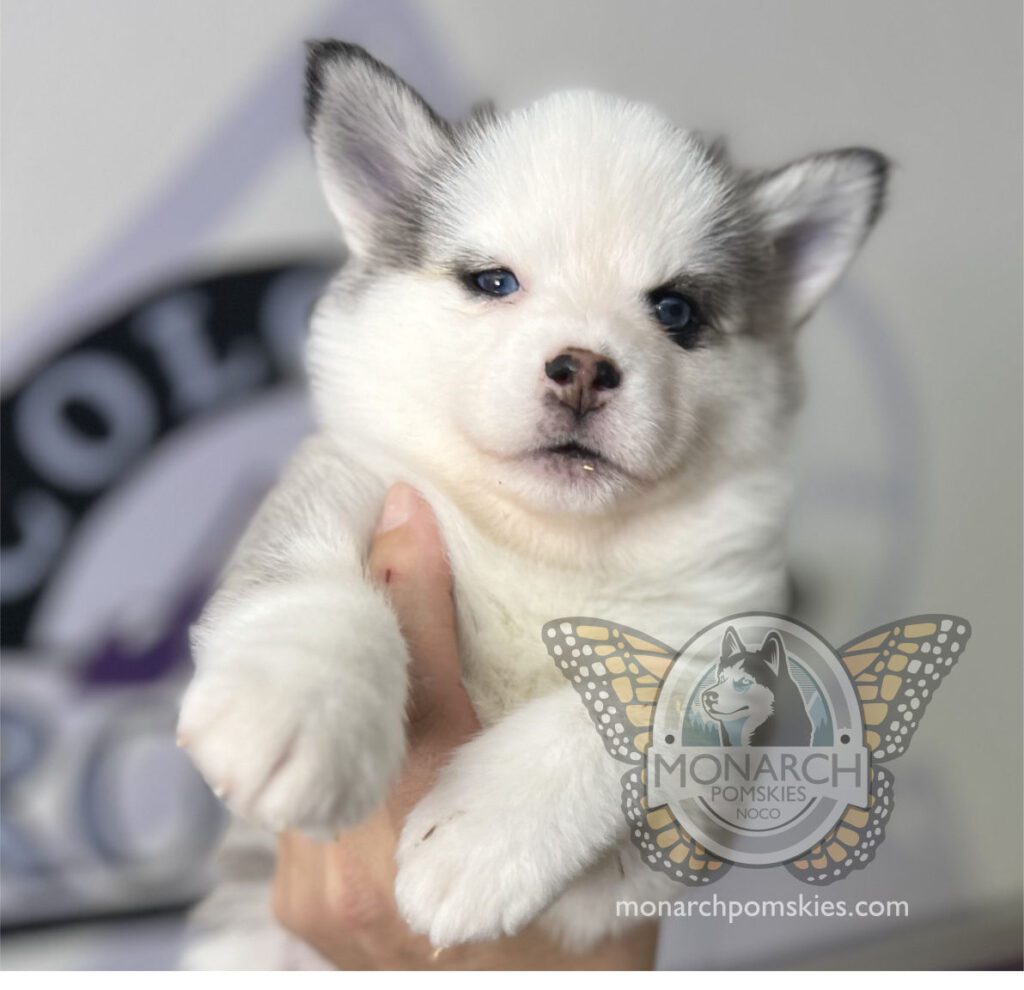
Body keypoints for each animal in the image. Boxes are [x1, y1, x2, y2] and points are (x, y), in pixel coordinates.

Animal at [174, 42, 880, 962]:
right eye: (494, 280)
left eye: (676, 310)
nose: (583, 367)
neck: (547, 539)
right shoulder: (349, 478)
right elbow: (313, 587)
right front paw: (298, 704)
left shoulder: (728, 612)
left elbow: (628, 719)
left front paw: (483, 843)